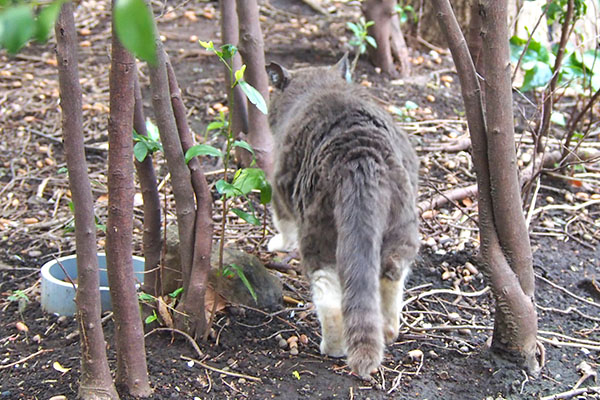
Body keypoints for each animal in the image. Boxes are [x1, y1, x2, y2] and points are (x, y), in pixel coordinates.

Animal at [264, 55, 420, 378]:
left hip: (318, 232)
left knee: (330, 298)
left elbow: (282, 222)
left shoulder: (279, 183)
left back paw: (332, 348)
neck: (320, 85)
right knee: (391, 273)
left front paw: (277, 244)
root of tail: (359, 154)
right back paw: (388, 331)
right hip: (402, 223)